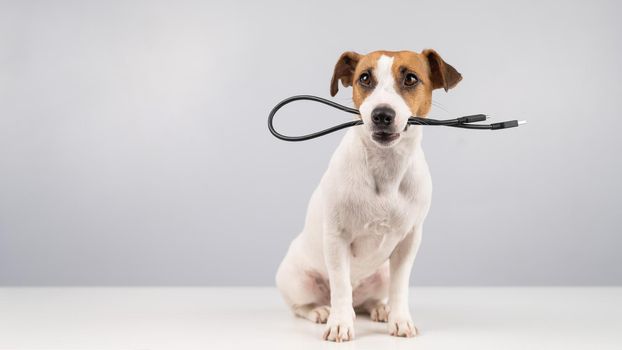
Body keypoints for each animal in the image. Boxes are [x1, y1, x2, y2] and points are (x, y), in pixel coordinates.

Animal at [278, 49, 464, 342]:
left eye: (411, 78)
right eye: (364, 78)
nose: (382, 114)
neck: (386, 167)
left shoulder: (409, 241)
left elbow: (400, 287)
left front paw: (400, 319)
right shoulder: (336, 237)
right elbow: (340, 286)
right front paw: (340, 323)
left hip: (382, 275)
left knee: (369, 300)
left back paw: (379, 307)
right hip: (297, 279)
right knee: (304, 304)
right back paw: (320, 310)